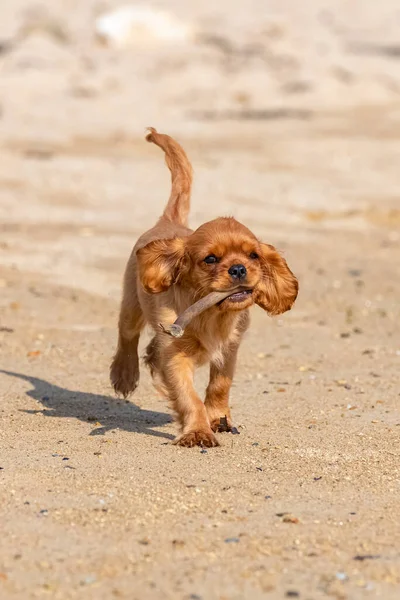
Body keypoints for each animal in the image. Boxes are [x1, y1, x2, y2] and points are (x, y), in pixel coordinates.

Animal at [109, 129, 296, 448]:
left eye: (253, 255)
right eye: (210, 259)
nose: (238, 269)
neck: (211, 314)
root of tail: (168, 221)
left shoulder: (230, 348)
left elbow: (220, 385)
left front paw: (218, 418)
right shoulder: (176, 355)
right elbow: (188, 396)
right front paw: (197, 431)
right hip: (132, 304)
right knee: (128, 336)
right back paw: (124, 374)